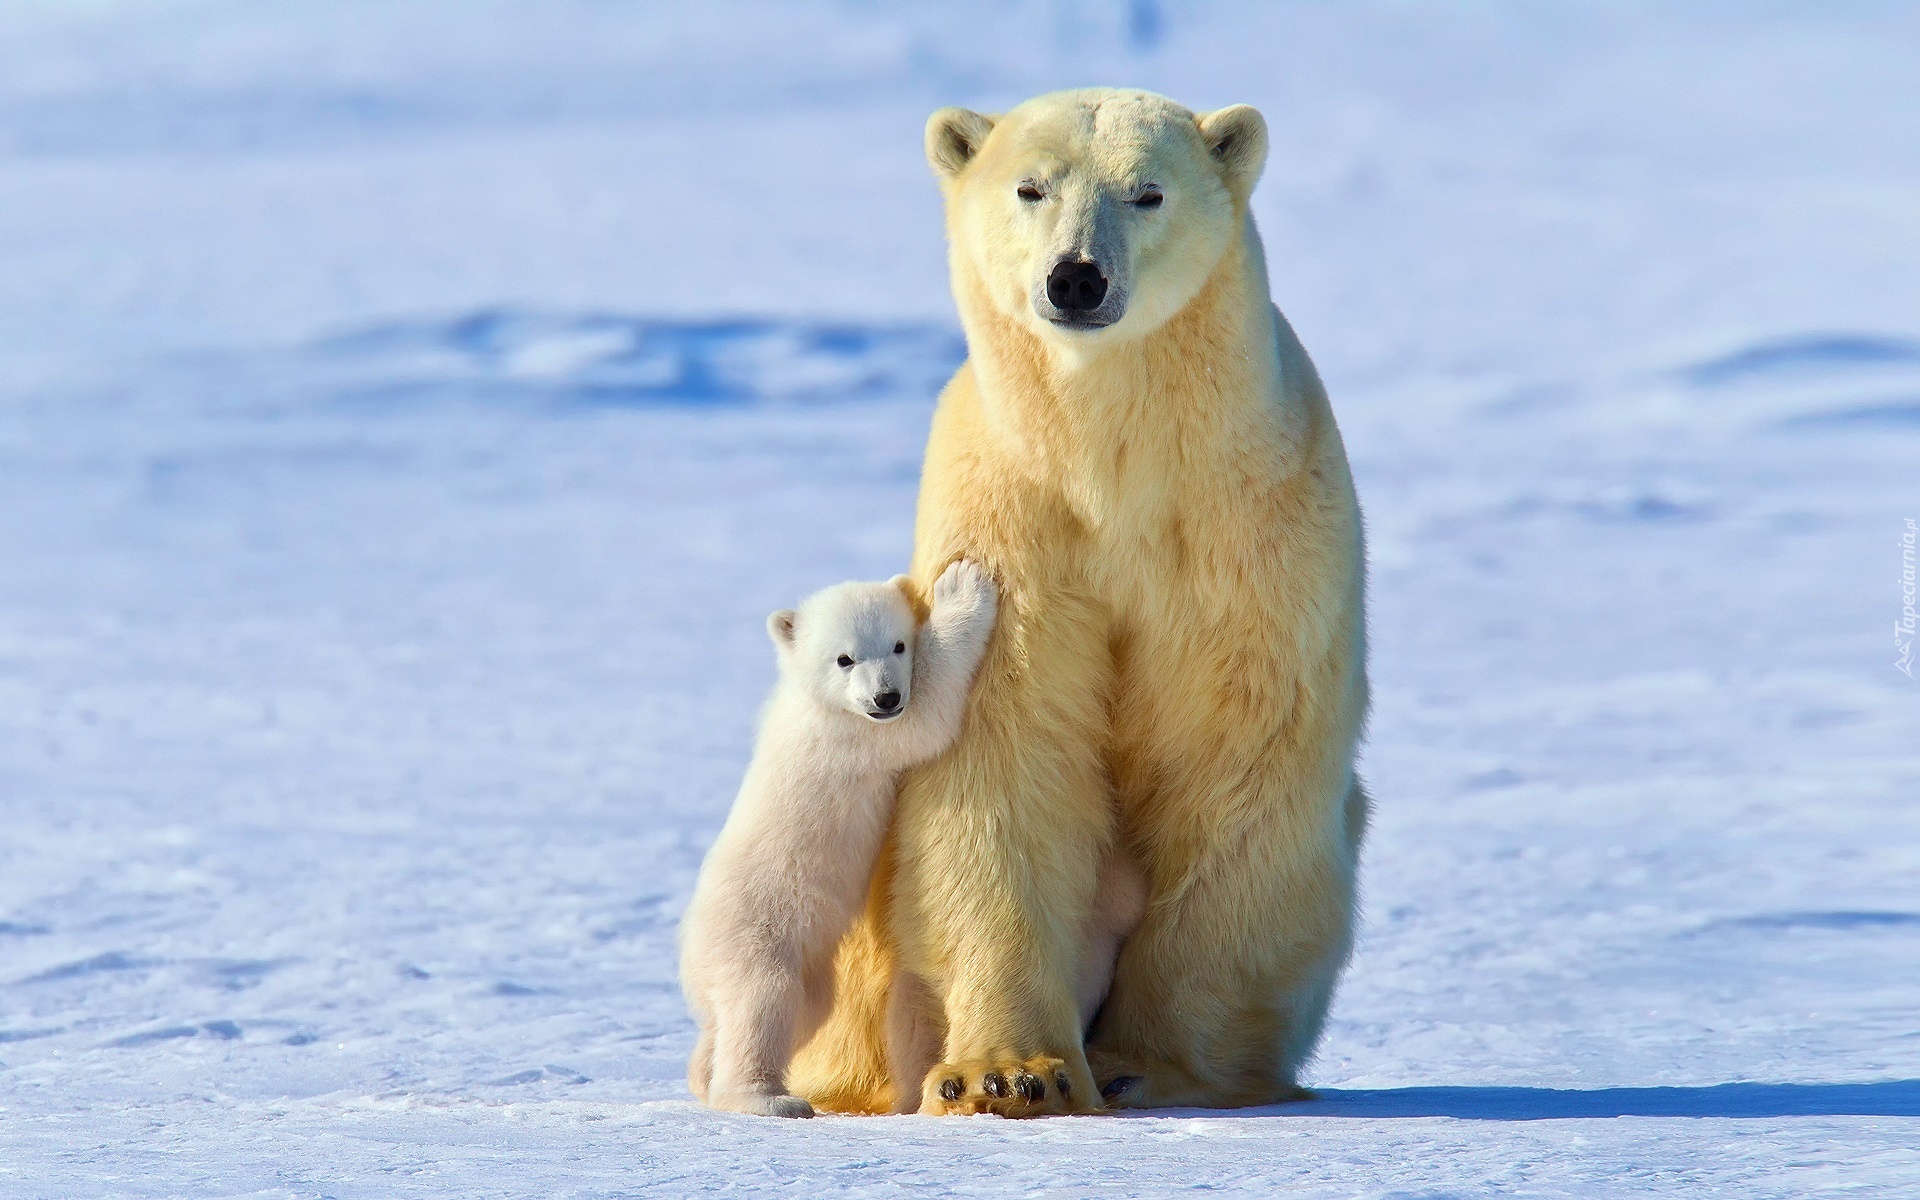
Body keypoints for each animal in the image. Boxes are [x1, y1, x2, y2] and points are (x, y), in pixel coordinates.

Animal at [683, 560, 998, 1113]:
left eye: (897, 644)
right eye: (844, 658)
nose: (885, 696)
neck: (815, 702)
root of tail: (689, 954)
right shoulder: (853, 737)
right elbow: (926, 715)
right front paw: (961, 588)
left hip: (807, 968)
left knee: (790, 1013)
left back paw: (704, 1074)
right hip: (757, 930)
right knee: (761, 1001)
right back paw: (767, 1098)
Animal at [787, 86, 1374, 1113]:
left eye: (1147, 191)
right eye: (1032, 186)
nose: (1076, 280)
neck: (1114, 466)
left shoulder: (1250, 532)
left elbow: (1236, 757)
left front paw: (1151, 1063)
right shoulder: (1013, 525)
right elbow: (1005, 758)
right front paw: (1009, 1074)